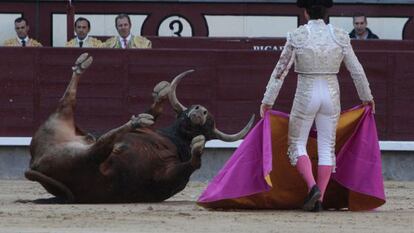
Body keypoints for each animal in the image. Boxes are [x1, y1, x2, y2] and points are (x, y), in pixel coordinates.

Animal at [25, 53, 256, 203]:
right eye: (187, 109)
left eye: (208, 127)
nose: (201, 110)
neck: (173, 140)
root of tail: (35, 161)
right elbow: (154, 112)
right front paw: (161, 92)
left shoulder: (168, 177)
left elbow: (192, 164)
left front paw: (197, 146)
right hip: (59, 125)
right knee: (74, 109)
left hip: (78, 157)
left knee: (96, 144)